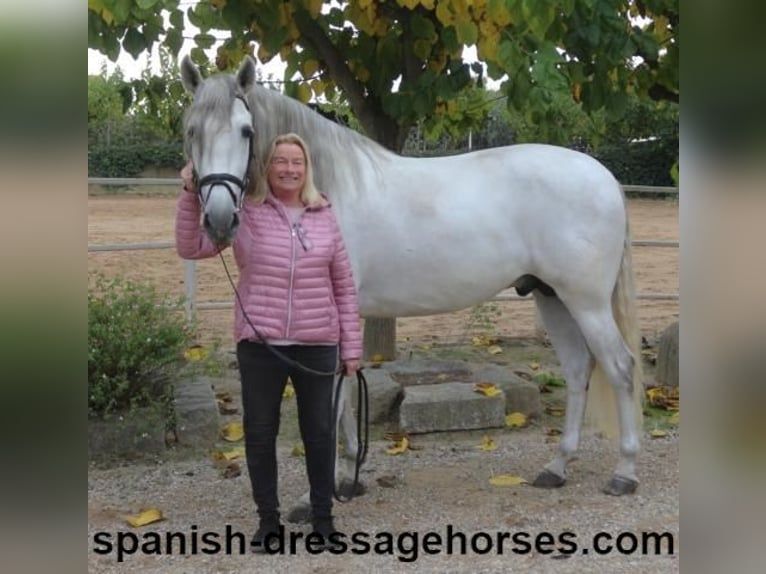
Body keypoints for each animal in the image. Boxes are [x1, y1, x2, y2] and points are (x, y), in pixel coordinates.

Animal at [183, 56, 644, 520]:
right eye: (191, 130)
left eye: (246, 130)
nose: (219, 220)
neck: (325, 193)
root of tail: (605, 178)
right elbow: (343, 398)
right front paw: (348, 477)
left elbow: (331, 403)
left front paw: (317, 494)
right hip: (552, 297)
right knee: (578, 369)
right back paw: (557, 466)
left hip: (586, 302)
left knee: (620, 368)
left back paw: (624, 472)